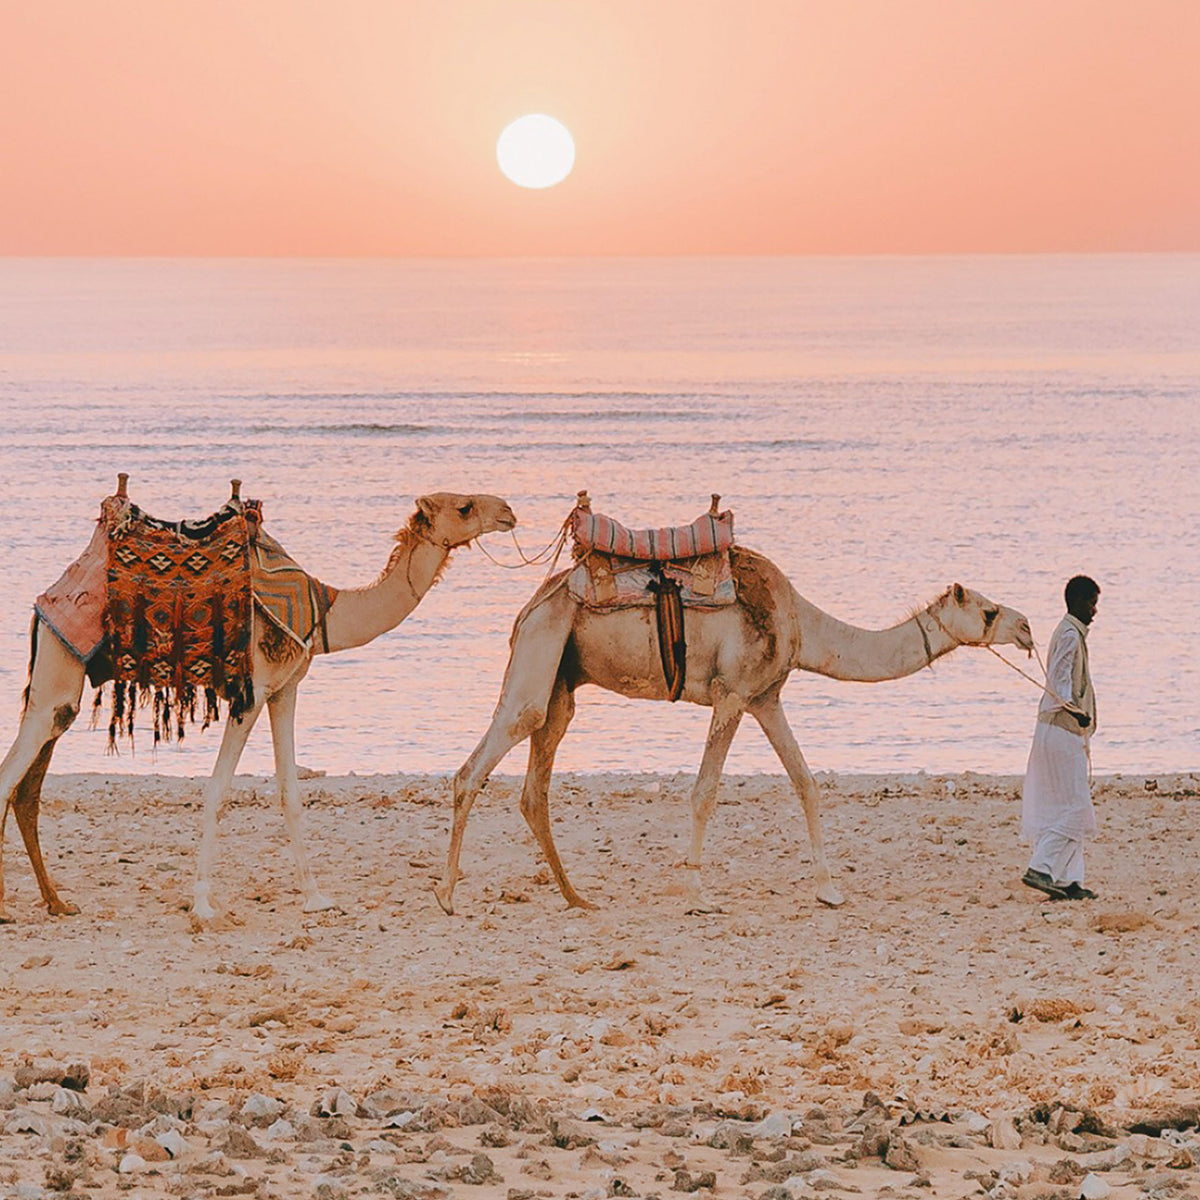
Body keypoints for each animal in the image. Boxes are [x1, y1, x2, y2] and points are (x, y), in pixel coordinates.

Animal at [0, 488, 516, 923]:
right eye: (465, 506)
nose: (508, 511)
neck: (327, 611)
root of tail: (46, 600)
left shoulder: (286, 689)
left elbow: (290, 792)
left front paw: (315, 897)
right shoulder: (250, 694)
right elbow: (216, 792)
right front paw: (203, 905)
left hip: (63, 688)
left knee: (29, 785)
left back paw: (57, 902)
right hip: (60, 662)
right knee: (12, 774)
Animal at [435, 546, 1033, 914]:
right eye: (988, 610)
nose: (1026, 628)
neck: (801, 625)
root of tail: (528, 606)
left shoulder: (766, 697)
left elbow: (806, 783)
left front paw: (829, 890)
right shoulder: (732, 693)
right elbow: (705, 791)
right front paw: (698, 893)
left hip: (562, 677)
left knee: (536, 784)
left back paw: (575, 897)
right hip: (542, 650)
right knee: (485, 757)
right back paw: (447, 895)